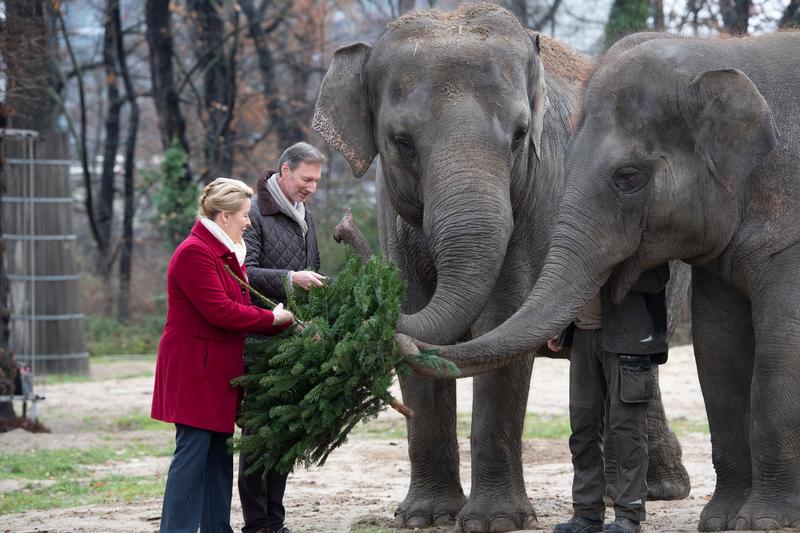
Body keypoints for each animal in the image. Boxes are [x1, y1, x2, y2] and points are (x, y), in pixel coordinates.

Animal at [316, 6, 692, 528]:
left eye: (519, 136)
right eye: (402, 142)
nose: (342, 226)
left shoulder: (538, 196)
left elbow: (502, 320)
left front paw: (494, 522)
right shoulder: (391, 210)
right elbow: (414, 309)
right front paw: (425, 518)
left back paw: (650, 493)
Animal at [424, 31, 800, 528]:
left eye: (627, 176)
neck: (722, 54)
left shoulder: (792, 233)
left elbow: (781, 347)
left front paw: (762, 522)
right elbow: (717, 349)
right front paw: (720, 522)